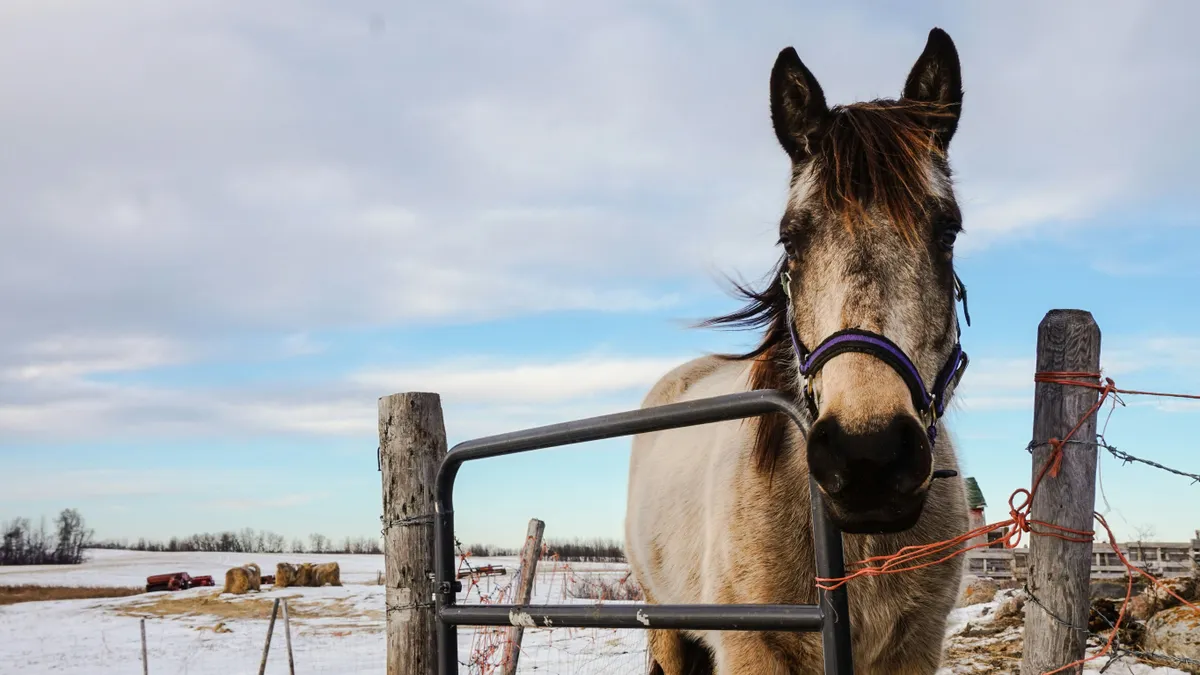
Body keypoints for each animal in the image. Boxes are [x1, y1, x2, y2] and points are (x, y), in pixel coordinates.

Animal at [628, 27, 974, 672]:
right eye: (790, 239)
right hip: (665, 627)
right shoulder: (753, 648)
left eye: (947, 231)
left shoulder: (916, 644)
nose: (869, 455)